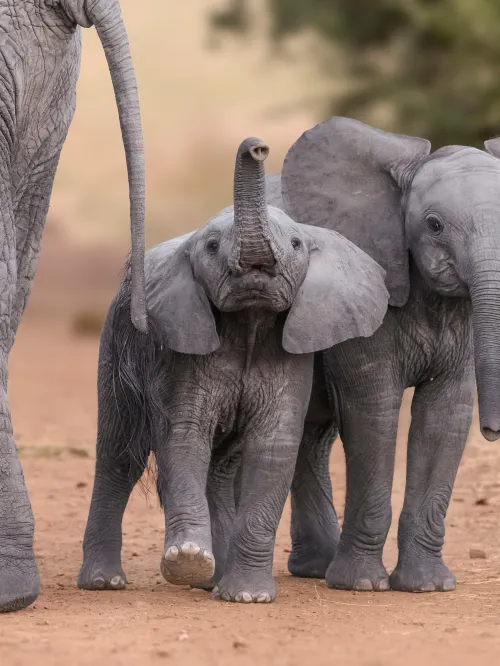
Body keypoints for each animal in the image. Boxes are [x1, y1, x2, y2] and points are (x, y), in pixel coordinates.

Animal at [78, 136, 390, 600]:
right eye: (210, 247)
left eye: (296, 245)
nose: (257, 147)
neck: (250, 320)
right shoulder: (185, 352)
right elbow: (184, 437)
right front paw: (187, 559)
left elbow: (273, 448)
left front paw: (246, 595)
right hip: (116, 345)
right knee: (118, 455)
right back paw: (105, 582)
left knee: (221, 468)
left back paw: (214, 581)